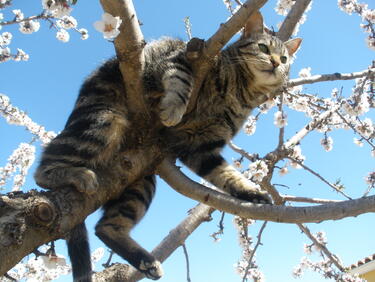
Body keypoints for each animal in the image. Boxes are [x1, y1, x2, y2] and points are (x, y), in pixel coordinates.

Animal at [33, 11, 302, 282]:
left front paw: (252, 192)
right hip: (104, 122)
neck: (241, 93)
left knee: (105, 227)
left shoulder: (201, 148)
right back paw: (76, 175)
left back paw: (147, 262)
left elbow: (227, 175)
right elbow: (183, 80)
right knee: (43, 169)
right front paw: (173, 109)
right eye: (263, 47)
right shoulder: (181, 55)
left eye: (285, 58)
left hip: (141, 182)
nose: (276, 63)